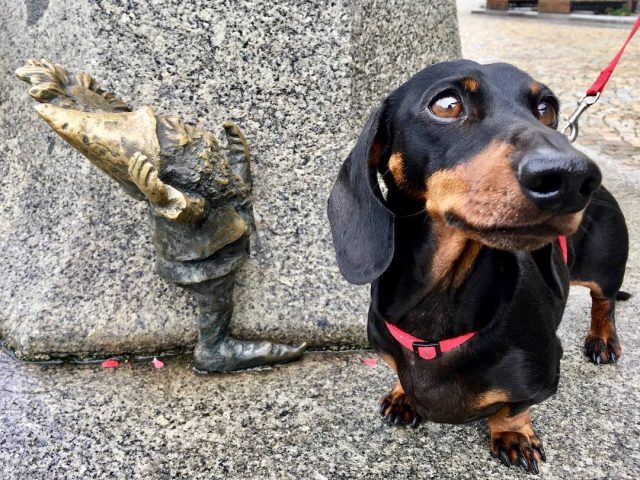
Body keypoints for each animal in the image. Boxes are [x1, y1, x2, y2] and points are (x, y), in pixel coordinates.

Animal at [328, 60, 628, 472]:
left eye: (546, 109)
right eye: (447, 105)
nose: (574, 177)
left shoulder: (543, 376)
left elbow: (512, 408)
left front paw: (513, 434)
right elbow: (400, 375)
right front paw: (403, 394)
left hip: (604, 268)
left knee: (605, 302)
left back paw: (602, 340)